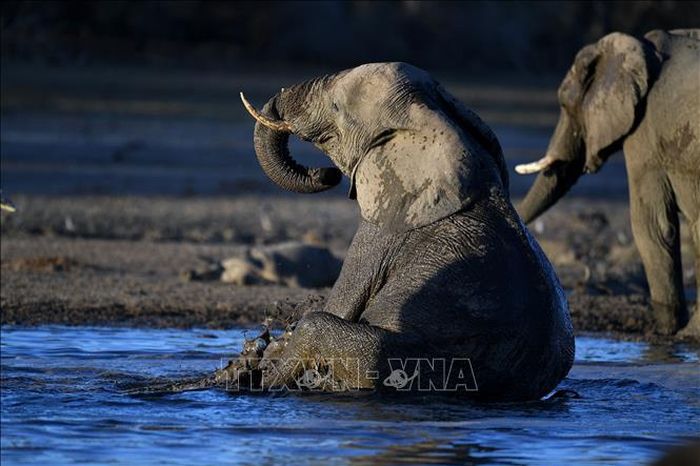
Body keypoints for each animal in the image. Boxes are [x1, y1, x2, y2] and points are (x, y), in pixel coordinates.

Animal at [231, 62, 574, 401]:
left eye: (336, 106)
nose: (325, 174)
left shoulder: (384, 228)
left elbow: (341, 303)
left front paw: (260, 364)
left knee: (318, 327)